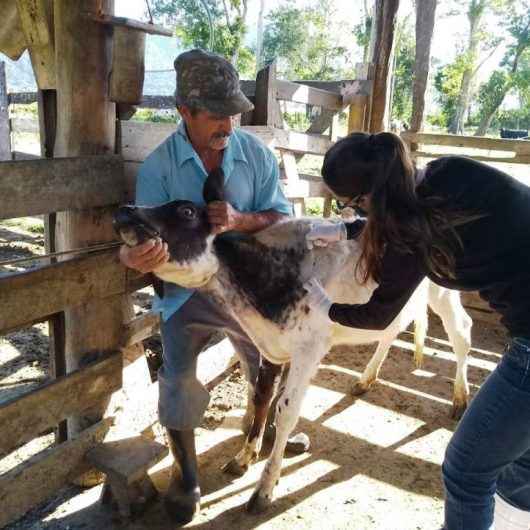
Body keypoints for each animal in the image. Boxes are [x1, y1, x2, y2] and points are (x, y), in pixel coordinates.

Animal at [113, 168, 468, 512]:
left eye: (186, 210)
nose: (125, 211)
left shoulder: (309, 350)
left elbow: (285, 411)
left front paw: (264, 490)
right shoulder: (271, 346)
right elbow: (260, 396)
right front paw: (244, 457)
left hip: (444, 289)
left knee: (461, 332)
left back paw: (460, 399)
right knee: (394, 328)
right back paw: (366, 379)